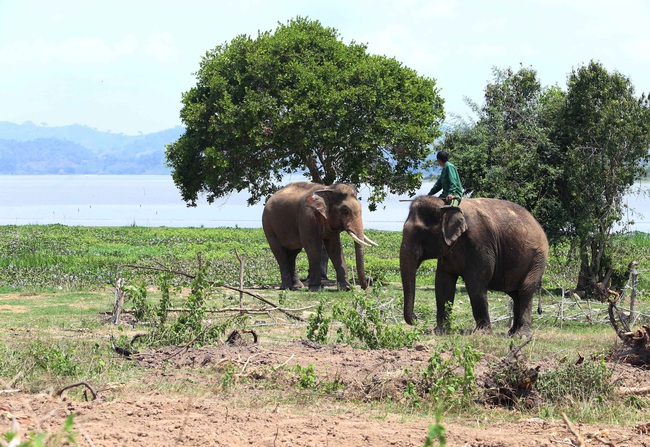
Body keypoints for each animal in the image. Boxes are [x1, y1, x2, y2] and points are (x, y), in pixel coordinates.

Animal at [400, 196, 548, 336]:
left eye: (420, 232)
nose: (416, 318)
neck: (446, 206)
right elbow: (443, 283)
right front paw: (439, 331)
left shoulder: (480, 242)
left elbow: (475, 283)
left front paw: (482, 333)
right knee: (515, 294)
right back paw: (511, 333)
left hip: (537, 259)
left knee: (525, 290)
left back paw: (521, 335)